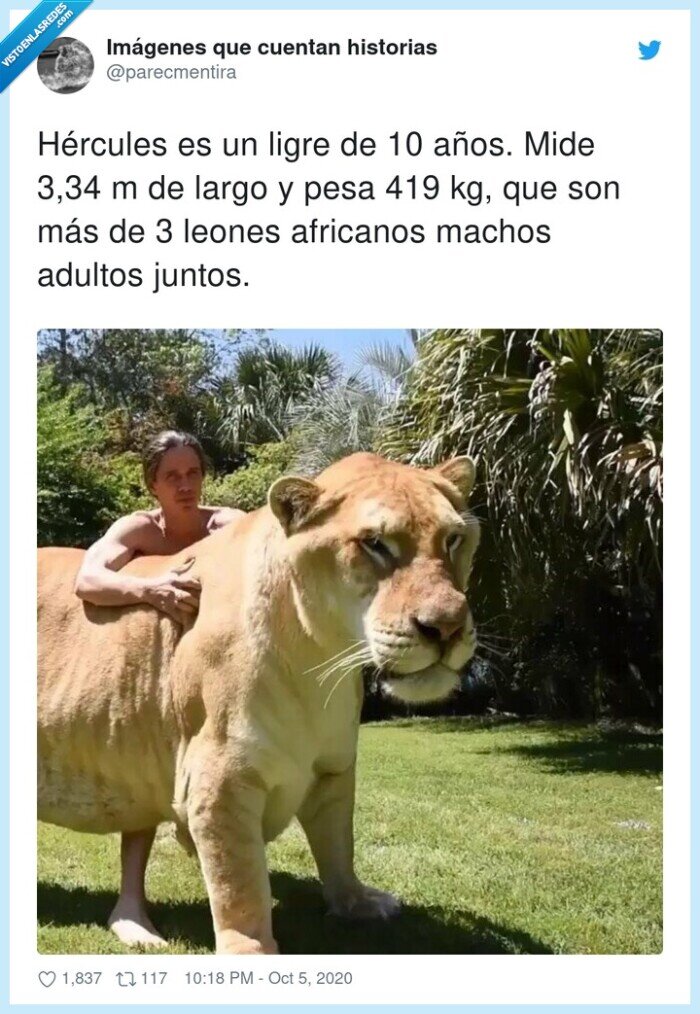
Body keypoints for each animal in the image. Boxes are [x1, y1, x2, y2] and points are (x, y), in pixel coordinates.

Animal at [38, 452, 480, 954]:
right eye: (375, 544)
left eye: (453, 539)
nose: (447, 628)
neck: (321, 664)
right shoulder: (219, 780)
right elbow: (241, 884)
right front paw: (252, 951)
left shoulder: (333, 767)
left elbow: (338, 844)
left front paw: (356, 903)